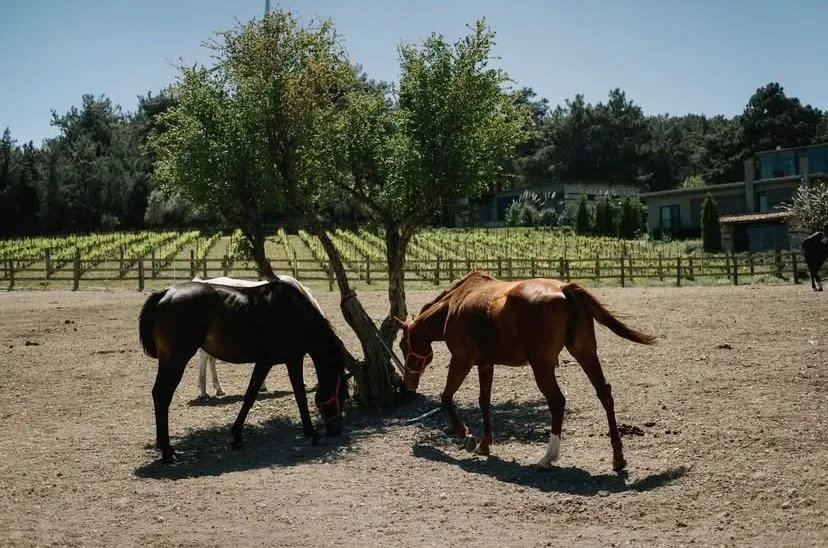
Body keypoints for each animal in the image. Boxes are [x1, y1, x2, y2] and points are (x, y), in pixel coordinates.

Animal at [398, 272, 656, 470]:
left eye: (402, 345)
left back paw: (547, 457)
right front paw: (484, 443)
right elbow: (484, 401)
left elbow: (446, 397)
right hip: (585, 353)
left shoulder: (462, 360)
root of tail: (564, 288)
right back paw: (618, 458)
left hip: (542, 366)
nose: (407, 383)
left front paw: (465, 436)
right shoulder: (485, 364)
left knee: (557, 401)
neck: (454, 305)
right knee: (604, 393)